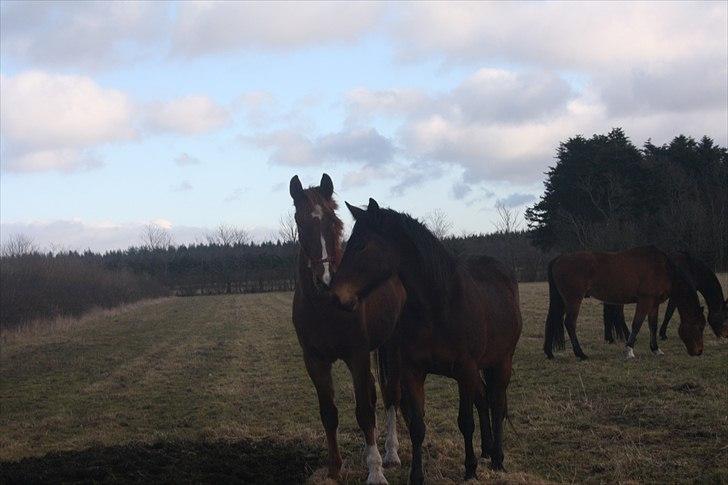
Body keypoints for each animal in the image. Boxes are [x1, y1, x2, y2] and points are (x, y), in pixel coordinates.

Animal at [288, 175, 406, 484]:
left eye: (333, 220)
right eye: (299, 221)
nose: (325, 280)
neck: (324, 307)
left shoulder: (357, 356)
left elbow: (364, 410)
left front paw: (375, 471)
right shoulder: (315, 360)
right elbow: (329, 412)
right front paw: (333, 469)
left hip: (390, 347)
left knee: (390, 395)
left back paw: (390, 453)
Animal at [330, 199, 524, 482]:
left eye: (362, 245)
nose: (335, 296)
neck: (437, 306)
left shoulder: (464, 370)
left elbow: (465, 422)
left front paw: (470, 469)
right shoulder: (414, 371)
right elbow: (417, 426)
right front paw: (416, 476)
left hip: (502, 361)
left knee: (497, 403)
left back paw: (498, 458)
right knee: (484, 399)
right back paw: (488, 450)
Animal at [544, 246, 708, 360]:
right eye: (700, 327)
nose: (699, 351)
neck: (662, 269)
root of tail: (559, 258)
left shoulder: (654, 304)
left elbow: (653, 326)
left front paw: (656, 349)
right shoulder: (645, 300)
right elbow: (637, 324)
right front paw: (629, 350)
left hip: (561, 300)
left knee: (552, 321)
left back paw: (549, 353)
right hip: (573, 299)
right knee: (570, 323)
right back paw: (580, 354)